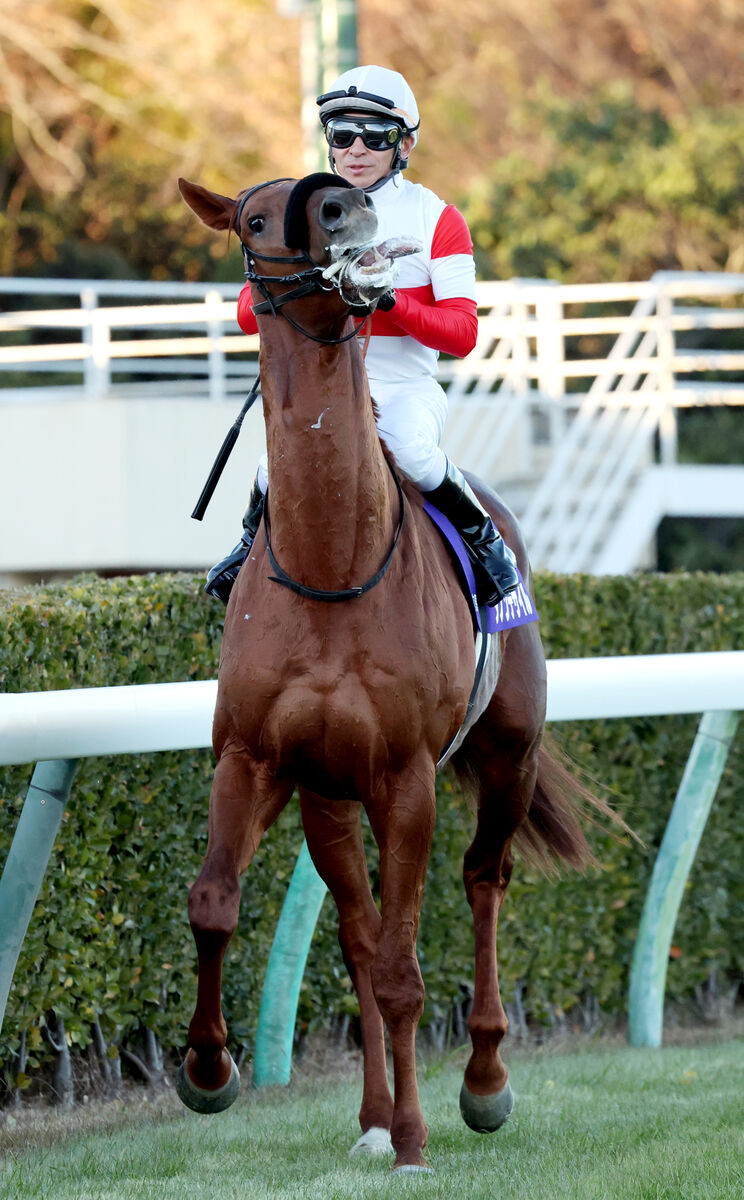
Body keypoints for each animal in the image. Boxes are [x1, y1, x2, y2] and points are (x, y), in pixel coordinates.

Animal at [177, 174, 602, 1176]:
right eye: (256, 217)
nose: (341, 205)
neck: (332, 563)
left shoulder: (407, 780)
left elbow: (409, 972)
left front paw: (414, 1139)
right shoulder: (254, 758)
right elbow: (217, 904)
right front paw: (208, 1071)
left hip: (508, 758)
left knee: (484, 881)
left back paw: (480, 1084)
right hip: (329, 800)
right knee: (361, 935)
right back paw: (370, 1116)